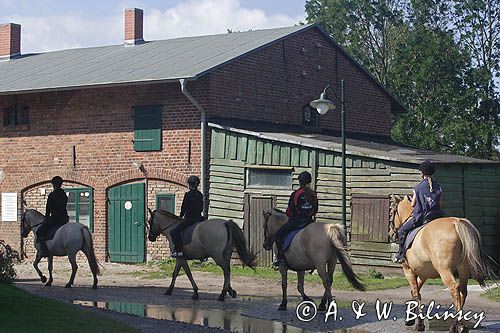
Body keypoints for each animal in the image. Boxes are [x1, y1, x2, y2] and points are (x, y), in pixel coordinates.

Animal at [390, 196, 492, 330]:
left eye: (391, 212)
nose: (391, 234)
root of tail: (456, 222)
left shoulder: (408, 271)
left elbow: (416, 294)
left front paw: (419, 324)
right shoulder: (423, 274)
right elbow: (415, 292)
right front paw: (410, 319)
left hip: (445, 270)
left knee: (454, 289)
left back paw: (457, 326)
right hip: (463, 268)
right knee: (463, 291)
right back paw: (458, 324)